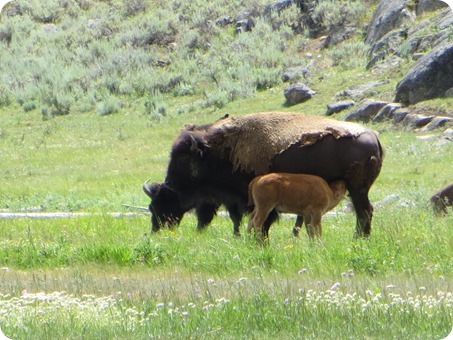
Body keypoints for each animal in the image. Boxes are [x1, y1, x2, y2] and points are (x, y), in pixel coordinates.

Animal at [143, 111, 384, 236]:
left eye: (162, 202)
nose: (157, 229)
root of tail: (373, 136)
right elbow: (237, 219)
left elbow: (260, 220)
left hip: (357, 189)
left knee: (364, 212)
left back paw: (359, 239)